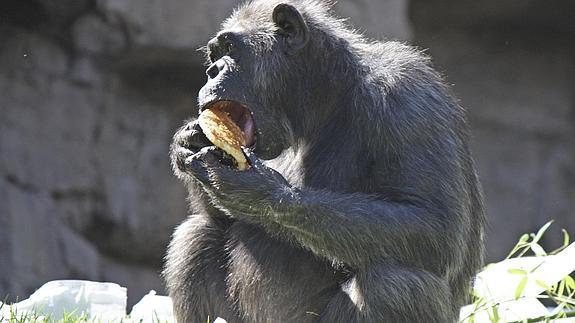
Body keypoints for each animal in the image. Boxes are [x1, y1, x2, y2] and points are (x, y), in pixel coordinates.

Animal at [162, 1, 486, 322]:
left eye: (230, 48)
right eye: (215, 54)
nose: (212, 70)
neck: (322, 97)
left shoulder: (408, 96)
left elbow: (433, 221)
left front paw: (258, 193)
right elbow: (218, 217)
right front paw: (187, 141)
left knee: (393, 285)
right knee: (195, 235)